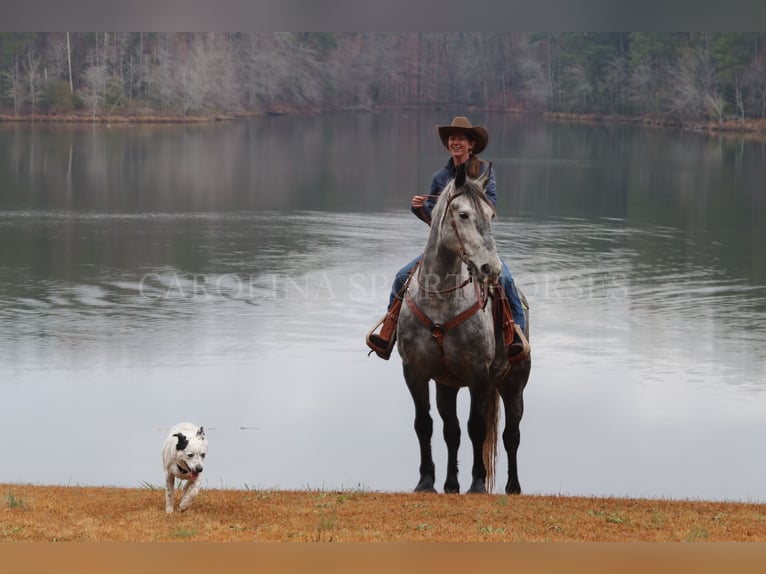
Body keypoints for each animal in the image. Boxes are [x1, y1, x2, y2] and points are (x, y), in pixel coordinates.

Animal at [400, 162, 532, 496]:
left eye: (491, 215)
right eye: (462, 214)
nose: (491, 269)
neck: (440, 302)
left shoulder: (479, 374)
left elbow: (478, 427)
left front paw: (477, 483)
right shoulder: (415, 372)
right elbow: (425, 425)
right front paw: (426, 481)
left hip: (514, 383)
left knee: (511, 434)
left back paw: (513, 486)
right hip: (447, 385)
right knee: (451, 430)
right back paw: (449, 484)